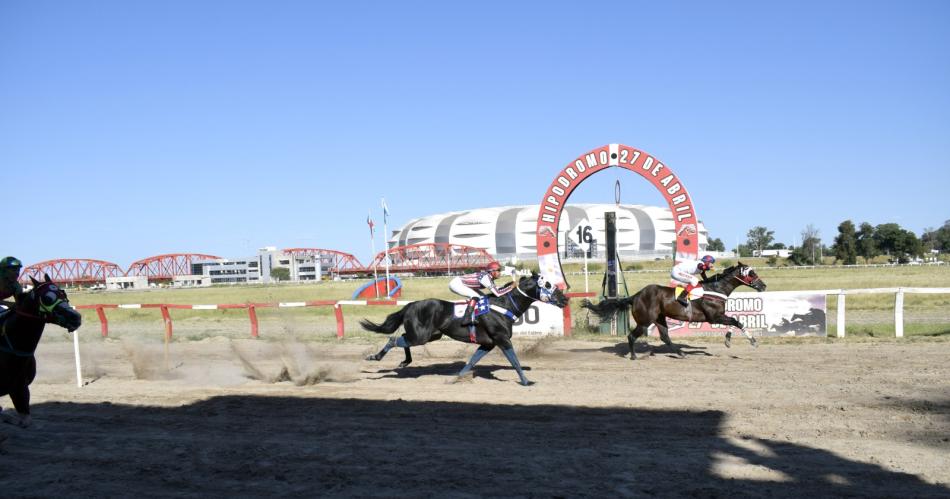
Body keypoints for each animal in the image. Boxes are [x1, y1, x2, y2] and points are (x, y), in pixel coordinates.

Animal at [362, 274, 568, 386]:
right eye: (548, 285)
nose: (565, 299)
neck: (505, 306)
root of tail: (410, 305)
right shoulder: (502, 339)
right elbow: (515, 361)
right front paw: (526, 381)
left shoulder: (488, 344)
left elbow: (471, 361)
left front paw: (456, 377)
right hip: (422, 336)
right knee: (393, 340)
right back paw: (375, 357)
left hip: (431, 335)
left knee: (403, 338)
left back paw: (405, 361)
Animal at [584, 264, 768, 362]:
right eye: (751, 273)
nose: (763, 285)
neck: (716, 289)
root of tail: (635, 296)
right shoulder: (714, 317)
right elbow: (737, 321)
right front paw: (752, 342)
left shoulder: (719, 317)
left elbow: (735, 320)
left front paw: (729, 340)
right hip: (645, 321)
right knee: (631, 336)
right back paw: (634, 356)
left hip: (659, 319)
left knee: (665, 337)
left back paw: (681, 353)